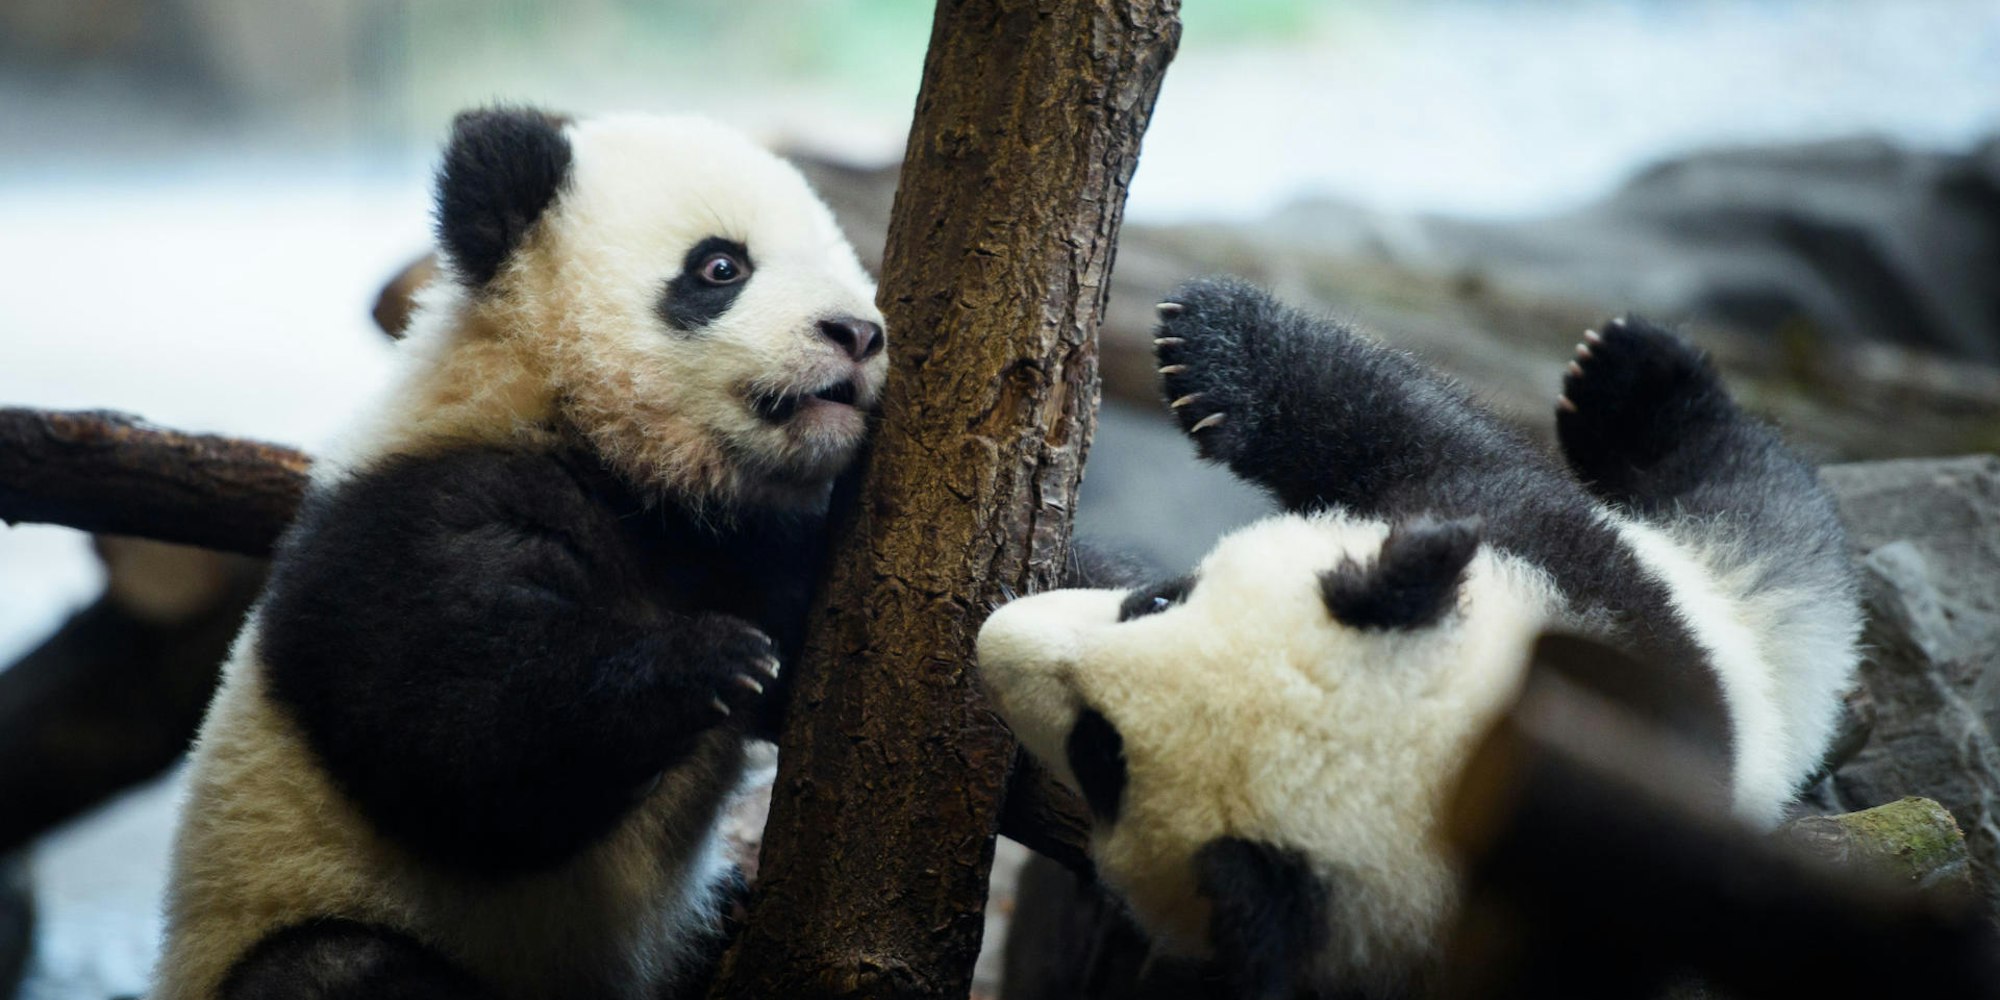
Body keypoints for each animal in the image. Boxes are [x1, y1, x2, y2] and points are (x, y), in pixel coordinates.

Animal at [153, 107, 886, 1000]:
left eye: (848, 266)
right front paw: (709, 662)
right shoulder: (412, 515)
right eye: (721, 267)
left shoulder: (726, 540)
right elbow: (460, 747)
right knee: (333, 967)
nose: (857, 334)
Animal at [978, 277, 1861, 999]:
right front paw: (1209, 345)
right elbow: (1411, 430)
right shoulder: (1550, 564)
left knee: (1774, 528)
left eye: (1102, 756)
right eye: (1162, 599)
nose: (993, 638)